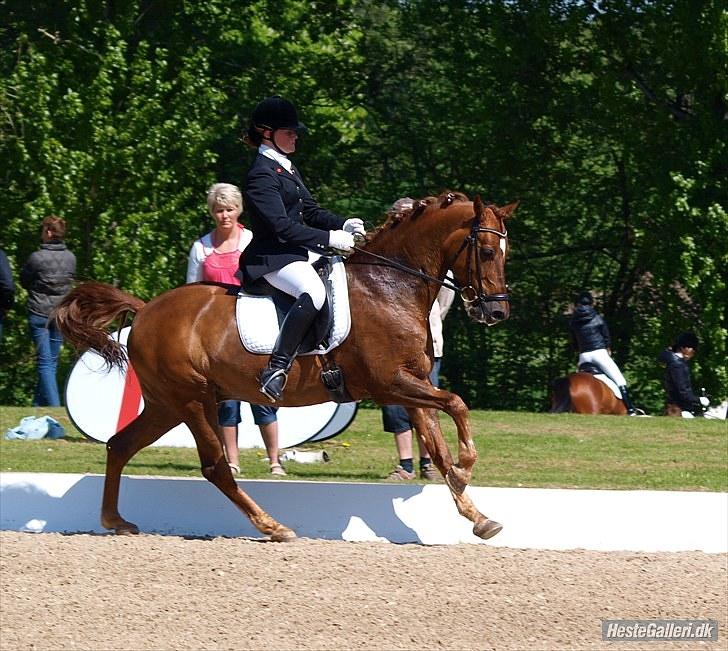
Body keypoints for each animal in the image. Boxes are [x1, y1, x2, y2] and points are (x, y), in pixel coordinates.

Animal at [54, 191, 516, 542]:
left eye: (505, 253)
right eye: (486, 251)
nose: (496, 313)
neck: (390, 286)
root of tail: (146, 308)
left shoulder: (412, 383)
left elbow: (437, 444)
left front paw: (477, 514)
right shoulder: (391, 383)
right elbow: (456, 403)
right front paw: (467, 467)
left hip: (167, 405)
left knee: (120, 445)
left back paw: (115, 521)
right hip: (192, 400)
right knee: (215, 466)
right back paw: (274, 527)